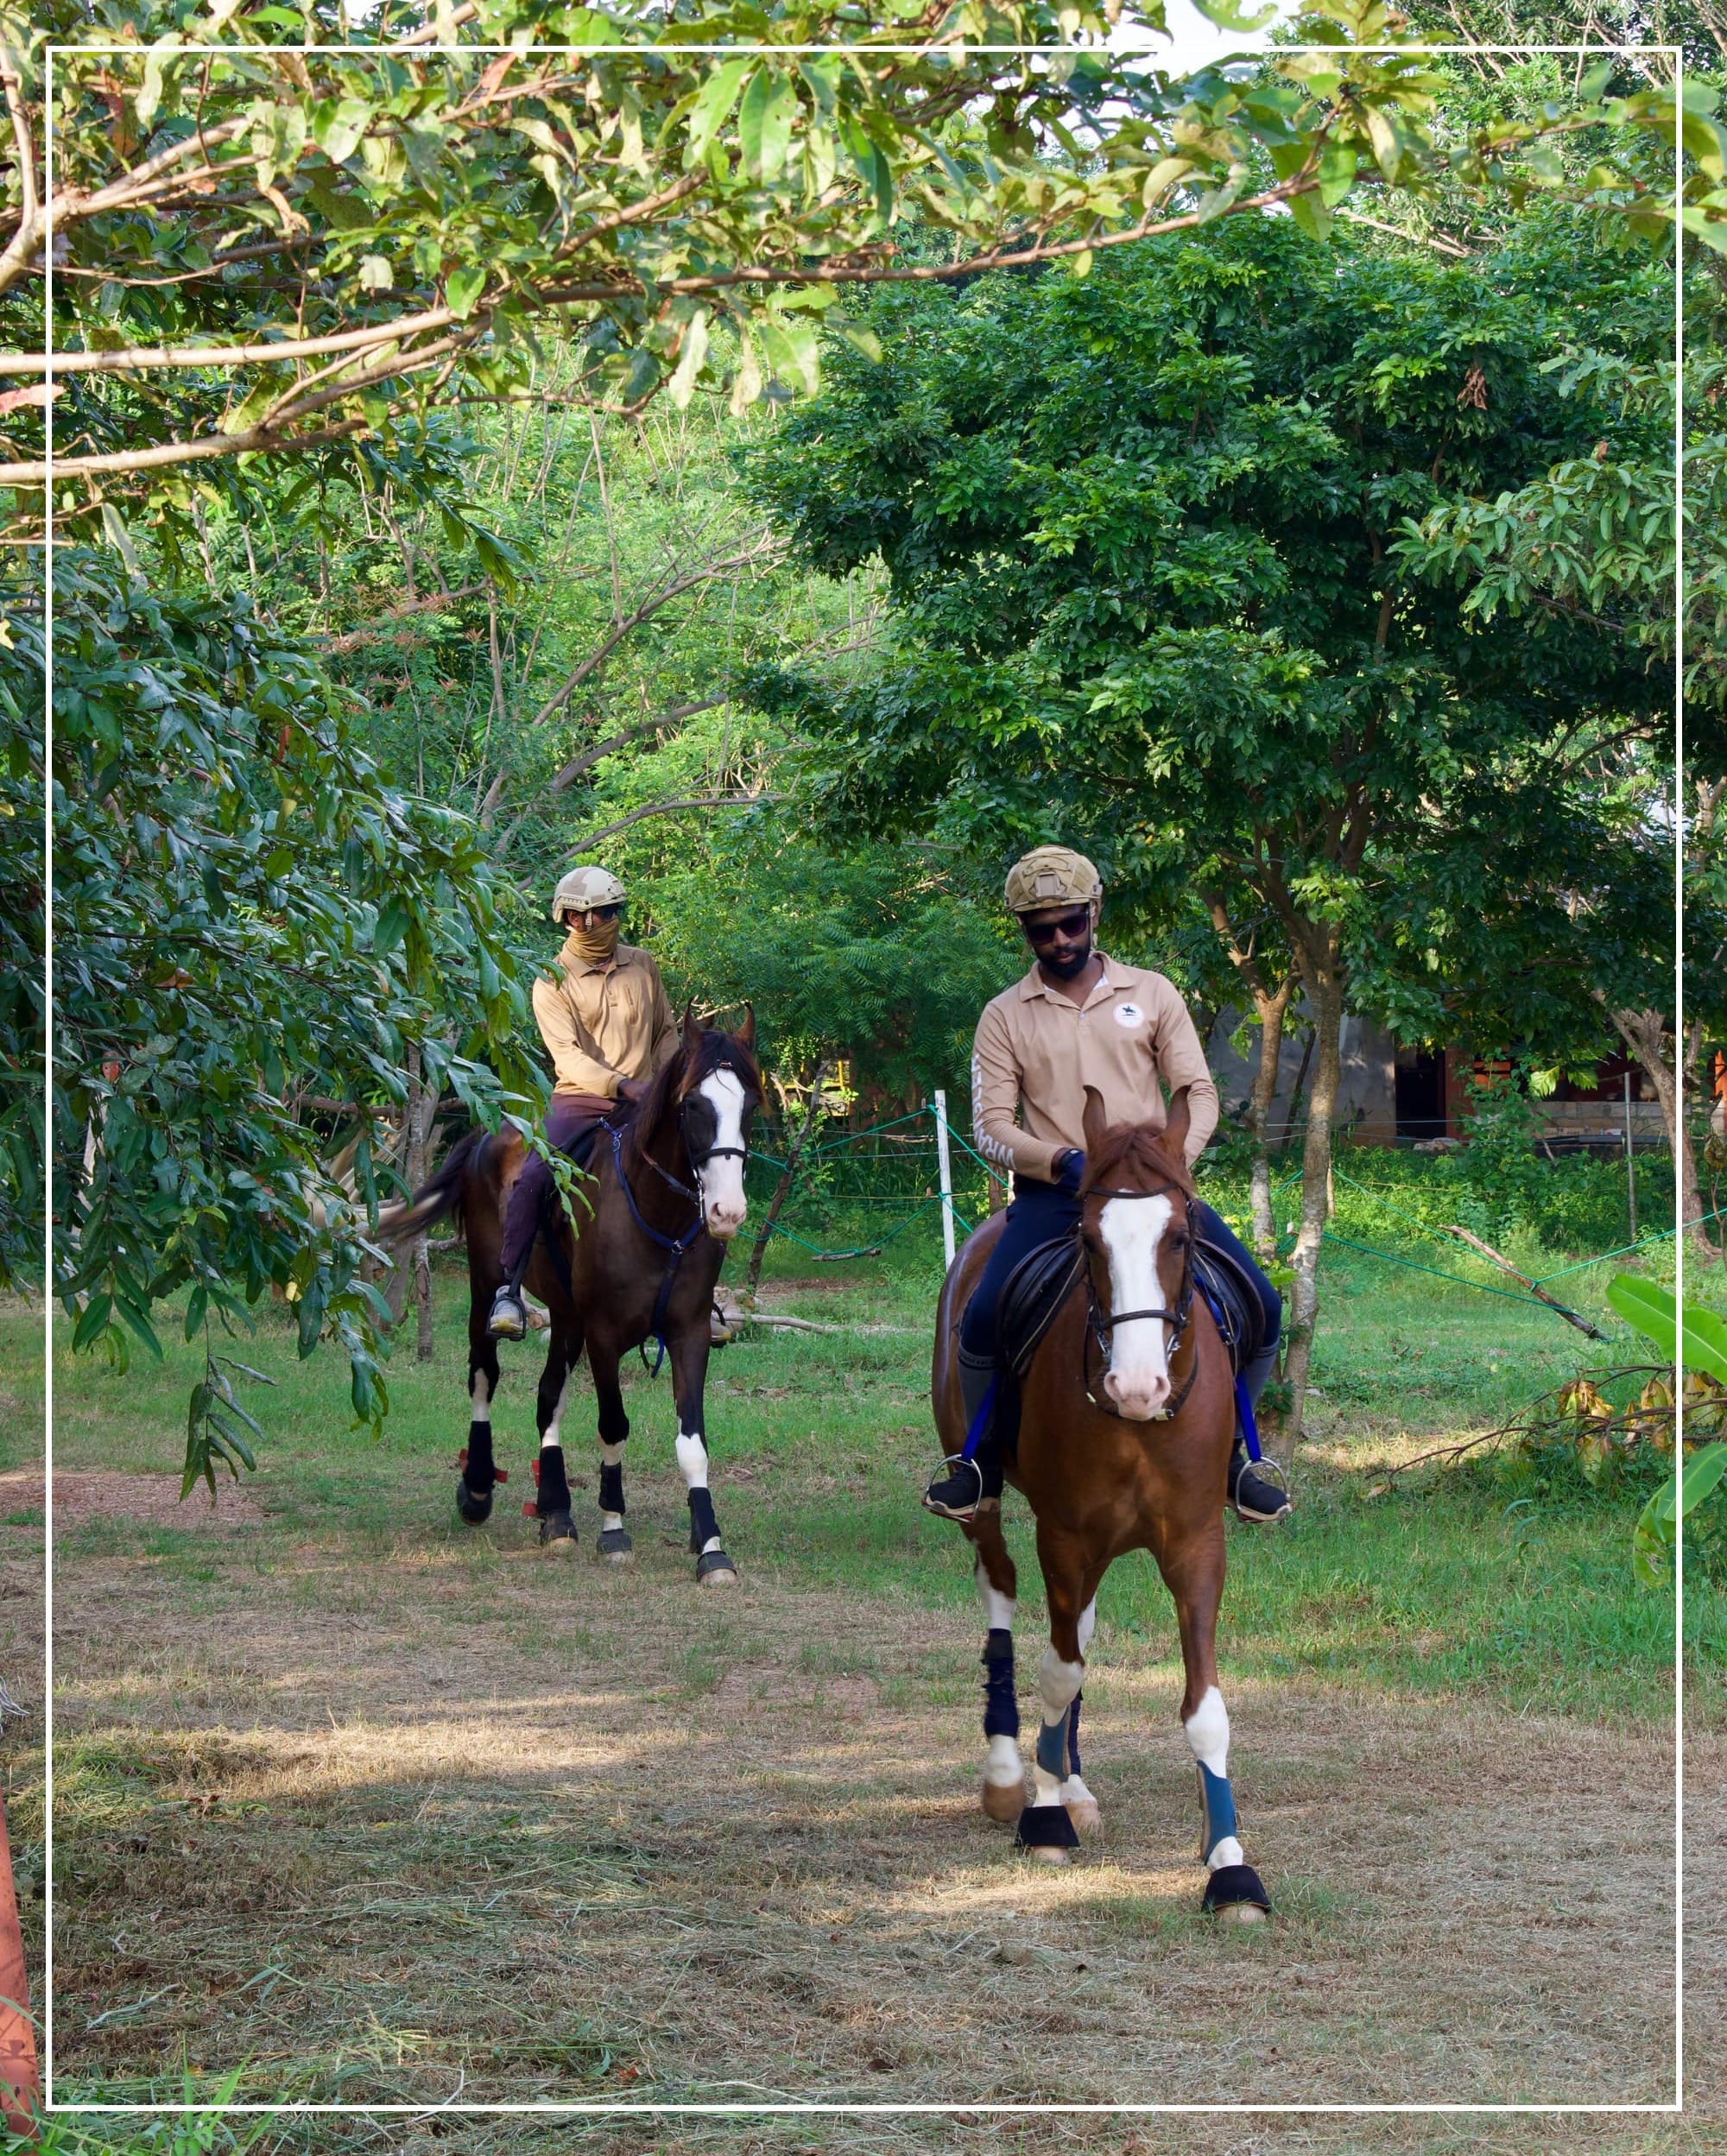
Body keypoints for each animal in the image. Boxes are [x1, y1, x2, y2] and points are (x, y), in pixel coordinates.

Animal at [381, 1009, 762, 1585]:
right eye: (693, 1106)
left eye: (750, 1107)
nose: (727, 1212)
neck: (656, 1216)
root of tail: (488, 1134)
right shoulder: (604, 1334)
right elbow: (613, 1427)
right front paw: (614, 1530)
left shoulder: (688, 1333)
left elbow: (693, 1445)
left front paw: (711, 1547)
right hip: (485, 1285)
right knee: (483, 1374)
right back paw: (477, 1490)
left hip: (565, 1316)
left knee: (548, 1397)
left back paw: (555, 1513)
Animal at [931, 1084, 1271, 1920]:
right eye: (1088, 1239)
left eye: (1179, 1236)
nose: (1137, 1385)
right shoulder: (1063, 1536)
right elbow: (1057, 1672)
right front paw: (1044, 1816)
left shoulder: (1196, 1546)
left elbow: (1204, 1710)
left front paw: (1231, 1869)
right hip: (990, 1508)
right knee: (1004, 1595)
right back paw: (1015, 1779)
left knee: (1076, 1629)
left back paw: (1071, 1781)